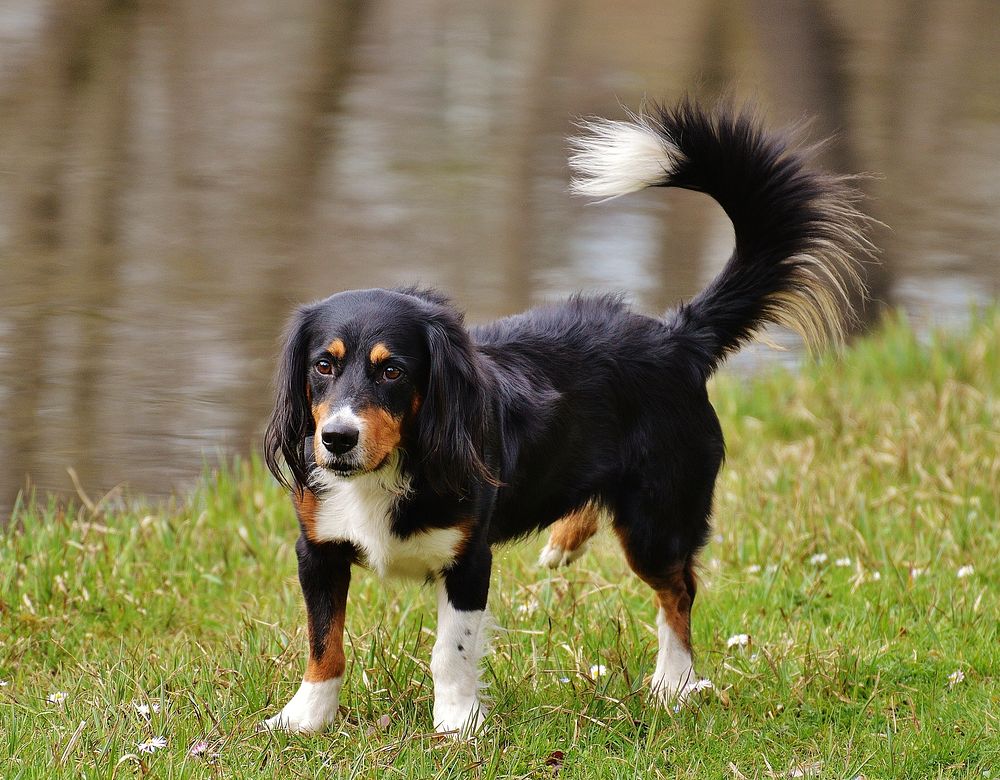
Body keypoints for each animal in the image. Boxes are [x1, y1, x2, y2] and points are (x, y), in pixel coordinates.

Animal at [262, 99, 872, 736]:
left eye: (392, 372)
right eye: (323, 365)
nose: (336, 439)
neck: (387, 470)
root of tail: (678, 337)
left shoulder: (469, 561)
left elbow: (450, 651)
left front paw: (457, 723)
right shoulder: (317, 549)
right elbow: (324, 642)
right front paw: (304, 718)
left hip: (656, 520)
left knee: (678, 591)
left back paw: (674, 683)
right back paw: (567, 539)